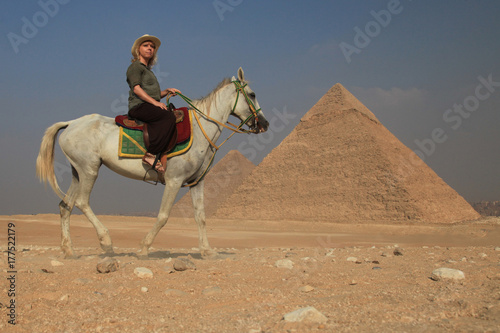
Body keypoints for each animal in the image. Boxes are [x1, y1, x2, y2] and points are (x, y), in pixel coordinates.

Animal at [36, 67, 268, 258]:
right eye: (253, 94)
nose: (264, 124)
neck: (200, 128)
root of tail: (70, 123)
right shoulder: (174, 180)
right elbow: (163, 216)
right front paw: (143, 248)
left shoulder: (196, 182)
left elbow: (200, 216)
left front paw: (207, 251)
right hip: (90, 169)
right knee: (82, 202)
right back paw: (106, 242)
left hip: (78, 171)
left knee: (65, 205)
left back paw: (68, 250)